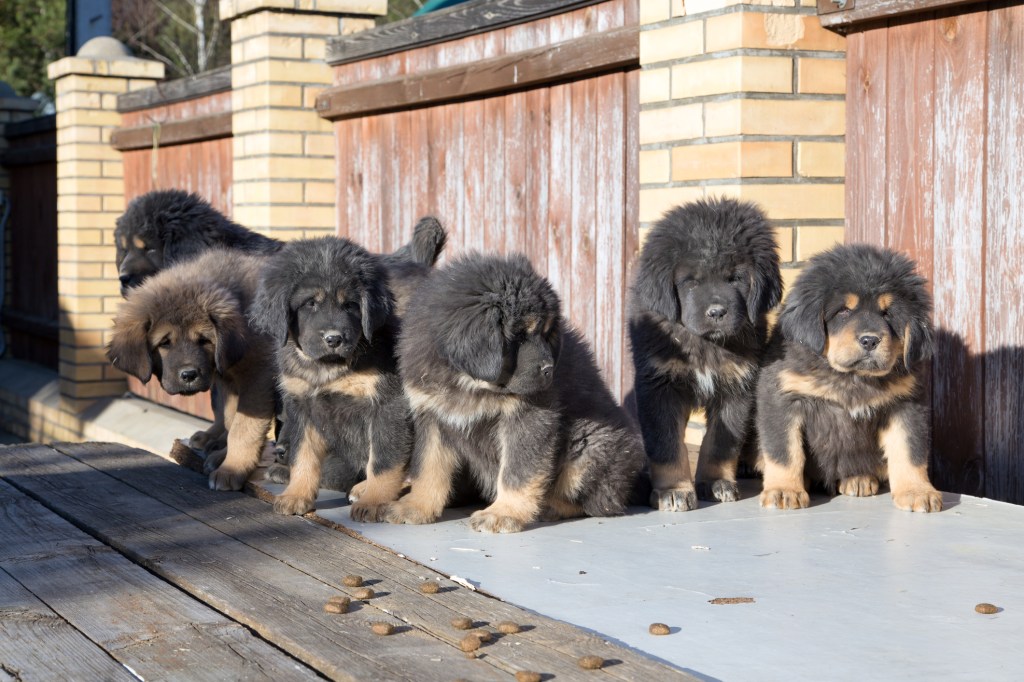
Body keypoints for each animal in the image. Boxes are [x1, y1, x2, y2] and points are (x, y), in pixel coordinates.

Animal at [107, 248, 276, 489]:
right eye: (164, 343)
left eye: (204, 340)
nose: (189, 375)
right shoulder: (230, 379)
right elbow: (230, 418)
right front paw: (224, 456)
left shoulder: (258, 378)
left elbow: (243, 429)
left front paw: (231, 468)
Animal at [249, 235, 417, 516]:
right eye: (310, 303)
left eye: (350, 305)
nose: (334, 339)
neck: (327, 368)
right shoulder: (303, 406)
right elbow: (303, 457)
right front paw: (296, 496)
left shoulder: (388, 406)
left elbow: (383, 460)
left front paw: (374, 501)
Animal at [380, 250, 643, 532]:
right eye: (517, 336)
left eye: (546, 333)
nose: (549, 370)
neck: (469, 383)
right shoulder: (431, 416)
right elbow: (427, 466)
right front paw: (415, 506)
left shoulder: (528, 417)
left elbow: (517, 470)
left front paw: (503, 513)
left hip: (591, 445)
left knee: (598, 503)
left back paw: (550, 506)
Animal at [626, 193, 778, 507]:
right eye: (691, 282)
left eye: (735, 278)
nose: (717, 312)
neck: (705, 344)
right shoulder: (659, 386)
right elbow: (667, 444)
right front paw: (673, 491)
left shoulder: (738, 386)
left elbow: (721, 442)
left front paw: (716, 482)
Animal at [757, 242, 937, 509]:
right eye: (843, 311)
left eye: (887, 313)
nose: (870, 340)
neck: (851, 377)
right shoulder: (782, 399)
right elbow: (784, 452)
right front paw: (783, 490)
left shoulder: (906, 404)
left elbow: (910, 451)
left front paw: (918, 491)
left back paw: (859, 479)